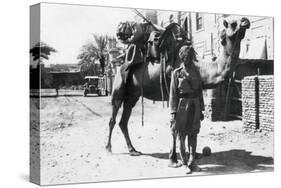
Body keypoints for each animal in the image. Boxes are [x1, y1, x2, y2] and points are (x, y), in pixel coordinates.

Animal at [105, 17, 249, 160]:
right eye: (233, 24)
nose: (245, 20)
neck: (201, 68)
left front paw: (193, 154)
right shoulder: (173, 92)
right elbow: (176, 124)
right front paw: (176, 156)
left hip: (132, 95)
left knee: (123, 121)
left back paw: (133, 150)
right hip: (118, 88)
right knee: (113, 117)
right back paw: (108, 148)